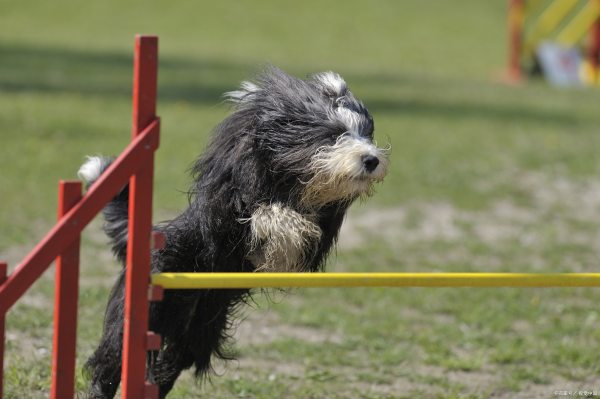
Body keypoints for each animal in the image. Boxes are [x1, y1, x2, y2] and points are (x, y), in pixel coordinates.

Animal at [78, 67, 390, 398]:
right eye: (334, 134)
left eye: (367, 133)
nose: (371, 159)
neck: (291, 179)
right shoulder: (230, 203)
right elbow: (264, 212)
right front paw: (285, 225)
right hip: (141, 311)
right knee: (110, 363)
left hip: (197, 329)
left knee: (166, 368)